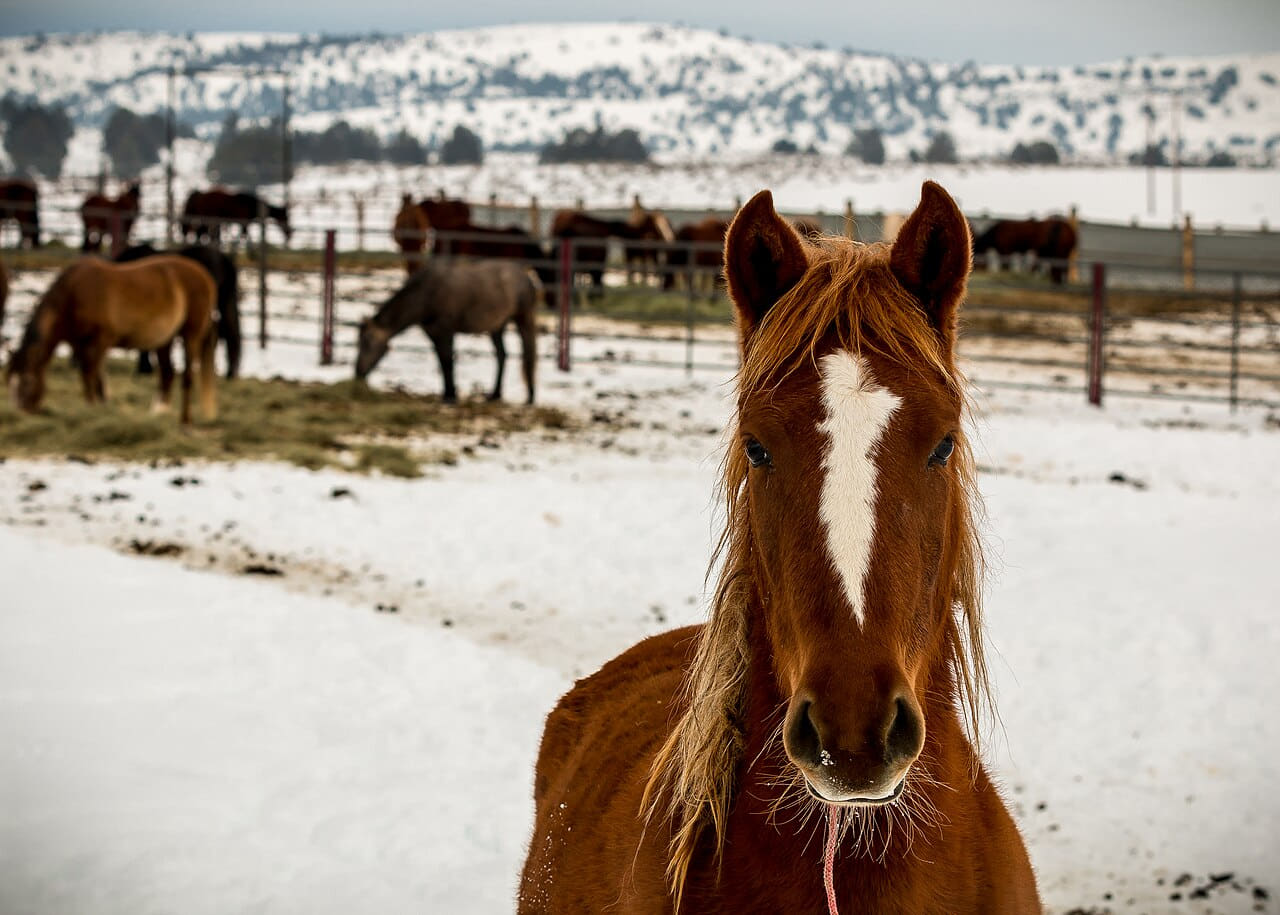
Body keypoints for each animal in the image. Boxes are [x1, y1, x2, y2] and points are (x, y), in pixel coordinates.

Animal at [7, 256, 218, 425]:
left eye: (27, 381)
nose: (23, 413)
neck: (73, 294)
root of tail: (204, 276)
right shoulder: (80, 345)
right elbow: (96, 380)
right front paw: (101, 409)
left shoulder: (100, 342)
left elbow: (89, 376)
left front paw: (91, 410)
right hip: (165, 340)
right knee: (168, 373)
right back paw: (158, 414)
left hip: (190, 335)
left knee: (187, 377)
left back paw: (185, 421)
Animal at [354, 259, 538, 405]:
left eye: (368, 341)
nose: (358, 373)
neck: (426, 295)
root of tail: (526, 275)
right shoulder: (434, 333)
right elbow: (442, 362)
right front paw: (446, 394)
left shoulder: (446, 331)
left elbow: (448, 361)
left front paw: (451, 397)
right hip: (497, 326)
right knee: (502, 355)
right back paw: (495, 395)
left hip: (523, 319)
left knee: (528, 353)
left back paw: (530, 398)